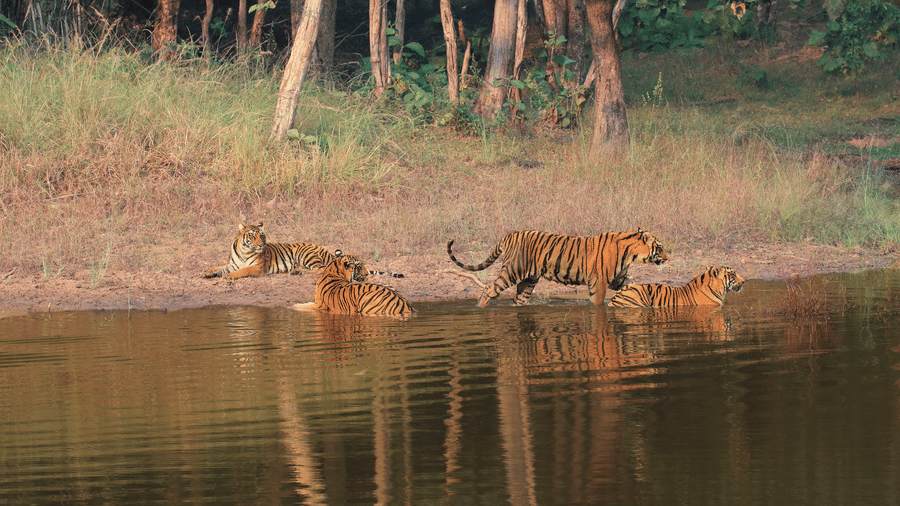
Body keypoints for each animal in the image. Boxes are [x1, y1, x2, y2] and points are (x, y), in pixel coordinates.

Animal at [202, 222, 403, 279]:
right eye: (252, 236)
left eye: (262, 235)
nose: (260, 245)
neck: (245, 251)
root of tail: (327, 250)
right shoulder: (231, 263)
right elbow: (218, 267)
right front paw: (206, 272)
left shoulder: (257, 267)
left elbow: (241, 271)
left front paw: (228, 277)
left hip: (306, 253)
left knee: (320, 269)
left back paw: (298, 272)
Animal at [446, 228, 668, 307]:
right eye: (660, 247)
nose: (668, 257)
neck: (630, 252)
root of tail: (509, 235)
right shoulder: (599, 282)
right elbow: (597, 303)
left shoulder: (618, 279)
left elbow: (633, 285)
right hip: (512, 271)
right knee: (489, 289)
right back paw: (479, 309)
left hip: (528, 280)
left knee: (517, 299)